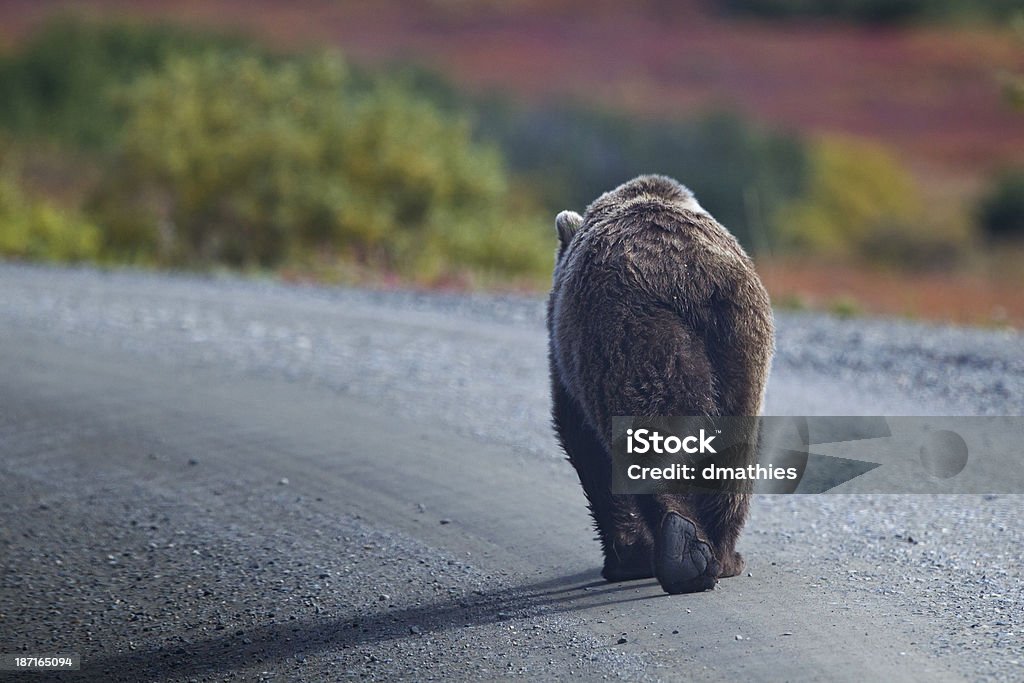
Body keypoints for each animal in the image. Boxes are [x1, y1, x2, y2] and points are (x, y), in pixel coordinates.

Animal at [548, 175, 770, 593]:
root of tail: (689, 275)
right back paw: (712, 555)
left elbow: (585, 445)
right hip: (739, 344)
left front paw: (627, 558)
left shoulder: (568, 362)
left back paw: (684, 551)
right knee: (735, 450)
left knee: (648, 438)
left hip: (629, 336)